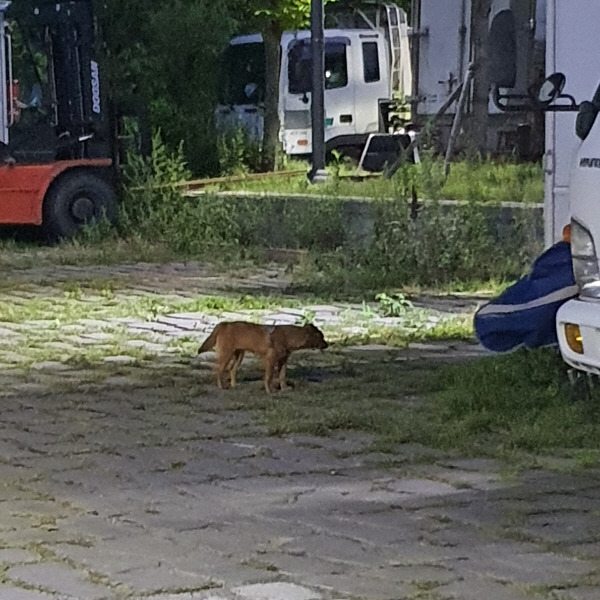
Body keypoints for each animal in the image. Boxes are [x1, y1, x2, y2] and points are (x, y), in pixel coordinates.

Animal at [197, 322, 328, 392]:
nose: (328, 345)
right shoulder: (271, 360)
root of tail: (224, 324)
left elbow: (282, 376)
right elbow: (268, 377)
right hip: (226, 355)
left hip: (239, 356)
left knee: (232, 370)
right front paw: (269, 391)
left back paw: (234, 386)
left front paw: (284, 388)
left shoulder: (283, 361)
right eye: (321, 337)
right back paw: (221, 386)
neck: (288, 336)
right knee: (219, 370)